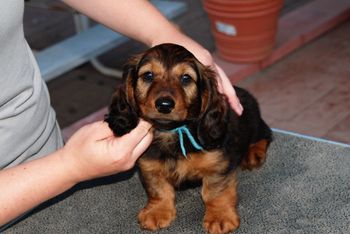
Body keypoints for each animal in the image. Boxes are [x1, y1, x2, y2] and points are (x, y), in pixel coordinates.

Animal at [105, 43, 272, 233]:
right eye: (148, 75)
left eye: (186, 78)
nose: (164, 105)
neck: (172, 131)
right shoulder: (149, 164)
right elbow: (158, 188)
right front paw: (157, 211)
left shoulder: (218, 165)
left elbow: (214, 192)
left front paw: (220, 216)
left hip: (254, 122)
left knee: (265, 134)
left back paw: (253, 154)